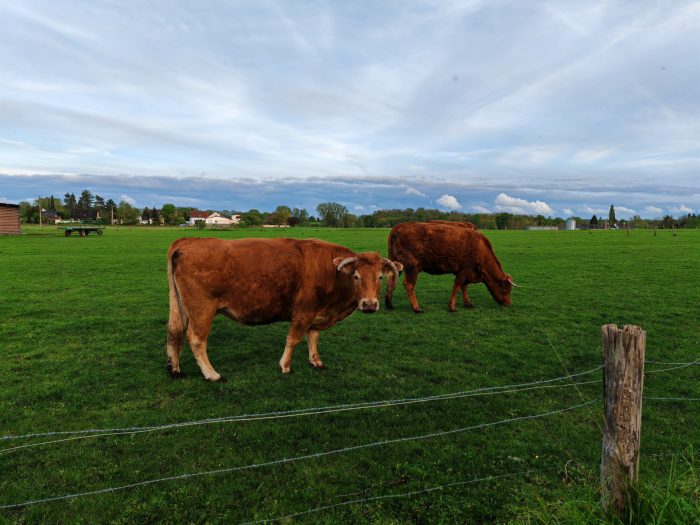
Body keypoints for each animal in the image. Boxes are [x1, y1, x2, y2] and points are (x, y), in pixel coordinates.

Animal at [166, 237, 402, 380]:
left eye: (380, 277)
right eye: (356, 277)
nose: (370, 304)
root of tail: (187, 242)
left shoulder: (316, 314)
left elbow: (313, 337)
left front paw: (316, 360)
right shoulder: (303, 312)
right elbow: (294, 339)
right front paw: (285, 365)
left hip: (182, 308)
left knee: (174, 333)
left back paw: (175, 368)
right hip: (201, 310)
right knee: (196, 339)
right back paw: (211, 374)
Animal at [386, 220, 516, 312]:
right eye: (506, 289)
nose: (509, 303)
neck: (480, 249)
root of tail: (397, 228)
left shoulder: (466, 273)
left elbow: (464, 287)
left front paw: (468, 303)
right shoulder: (464, 271)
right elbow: (457, 286)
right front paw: (452, 306)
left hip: (397, 266)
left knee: (391, 280)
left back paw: (389, 304)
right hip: (412, 268)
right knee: (409, 285)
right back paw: (416, 307)